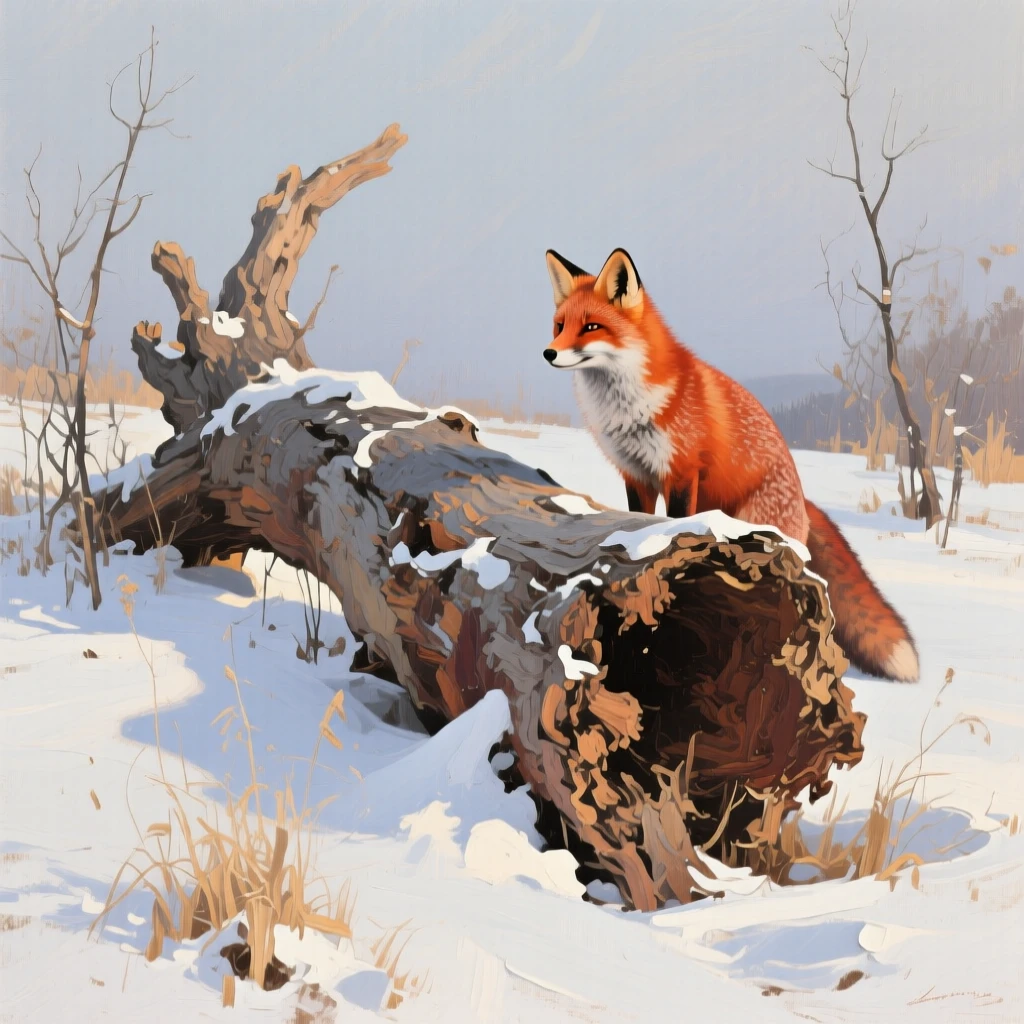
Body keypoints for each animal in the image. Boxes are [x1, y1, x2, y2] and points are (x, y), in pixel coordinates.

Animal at [543, 246, 919, 684]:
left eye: (591, 327)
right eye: (559, 326)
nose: (549, 352)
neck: (630, 406)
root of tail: (804, 498)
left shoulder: (682, 471)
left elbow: (673, 523)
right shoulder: (636, 474)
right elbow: (640, 521)